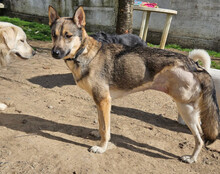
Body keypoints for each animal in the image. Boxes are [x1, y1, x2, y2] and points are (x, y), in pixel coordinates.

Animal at [47, 5, 218, 163]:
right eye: (53, 35)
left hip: (186, 110)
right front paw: (98, 135)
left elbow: (105, 129)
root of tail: (195, 65)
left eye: (68, 36)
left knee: (200, 138)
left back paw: (191, 158)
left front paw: (101, 148)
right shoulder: (100, 102)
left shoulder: (104, 100)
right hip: (190, 111)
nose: (54, 53)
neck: (84, 53)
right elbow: (102, 124)